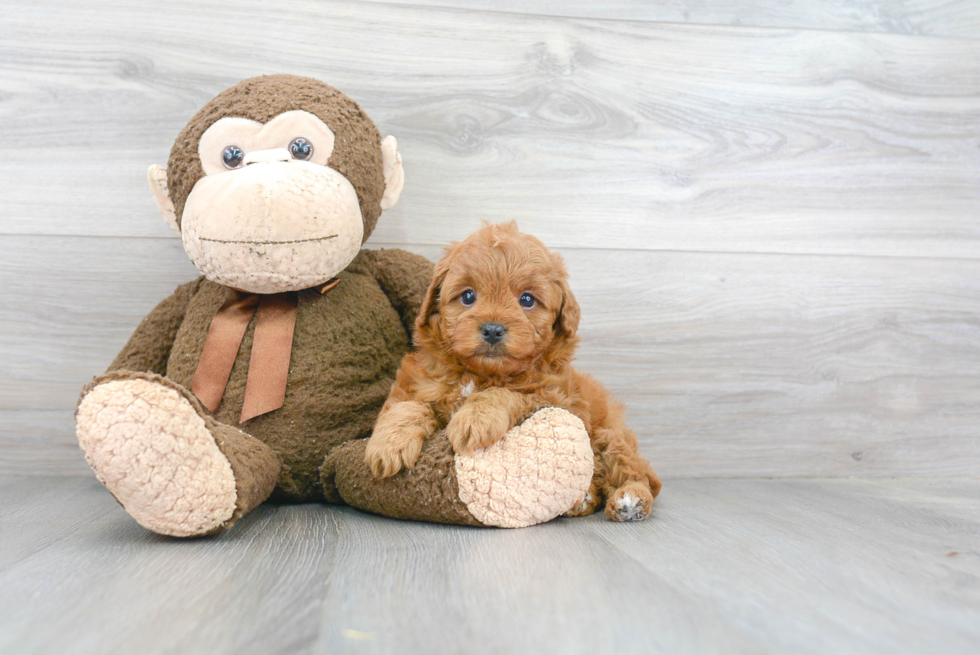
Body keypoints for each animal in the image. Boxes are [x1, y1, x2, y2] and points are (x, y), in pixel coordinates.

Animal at [364, 223, 664, 520]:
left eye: (527, 299)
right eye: (468, 295)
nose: (492, 330)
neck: (480, 373)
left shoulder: (555, 398)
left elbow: (505, 393)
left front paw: (475, 419)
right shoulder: (417, 382)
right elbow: (408, 406)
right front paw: (388, 445)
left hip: (608, 436)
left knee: (637, 473)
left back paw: (630, 500)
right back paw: (584, 500)